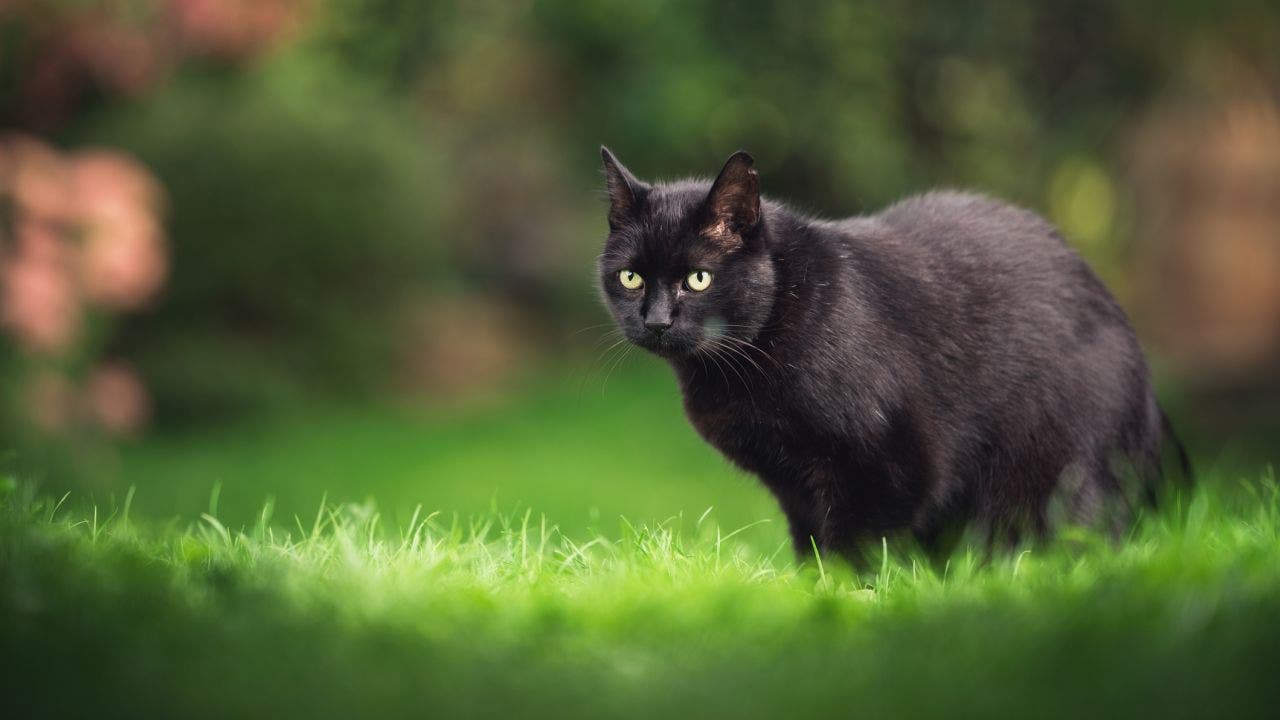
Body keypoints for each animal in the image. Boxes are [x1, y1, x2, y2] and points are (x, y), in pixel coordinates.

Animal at [599, 147, 1187, 561]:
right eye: (630, 278)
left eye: (698, 279)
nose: (656, 321)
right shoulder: (795, 487)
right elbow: (812, 549)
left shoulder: (889, 466)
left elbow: (854, 550)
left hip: (1057, 482)